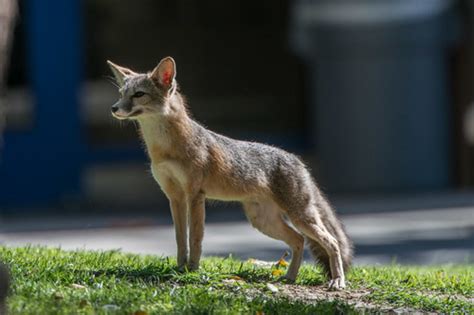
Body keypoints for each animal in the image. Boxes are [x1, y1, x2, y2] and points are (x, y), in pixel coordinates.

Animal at [107, 57, 352, 292]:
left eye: (139, 94)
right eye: (121, 94)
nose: (114, 108)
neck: (165, 149)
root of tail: (298, 160)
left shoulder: (195, 196)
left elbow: (195, 239)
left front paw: (192, 270)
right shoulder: (175, 197)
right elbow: (180, 239)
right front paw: (179, 268)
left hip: (299, 218)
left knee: (332, 242)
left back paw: (337, 281)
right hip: (264, 222)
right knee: (299, 240)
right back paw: (290, 277)